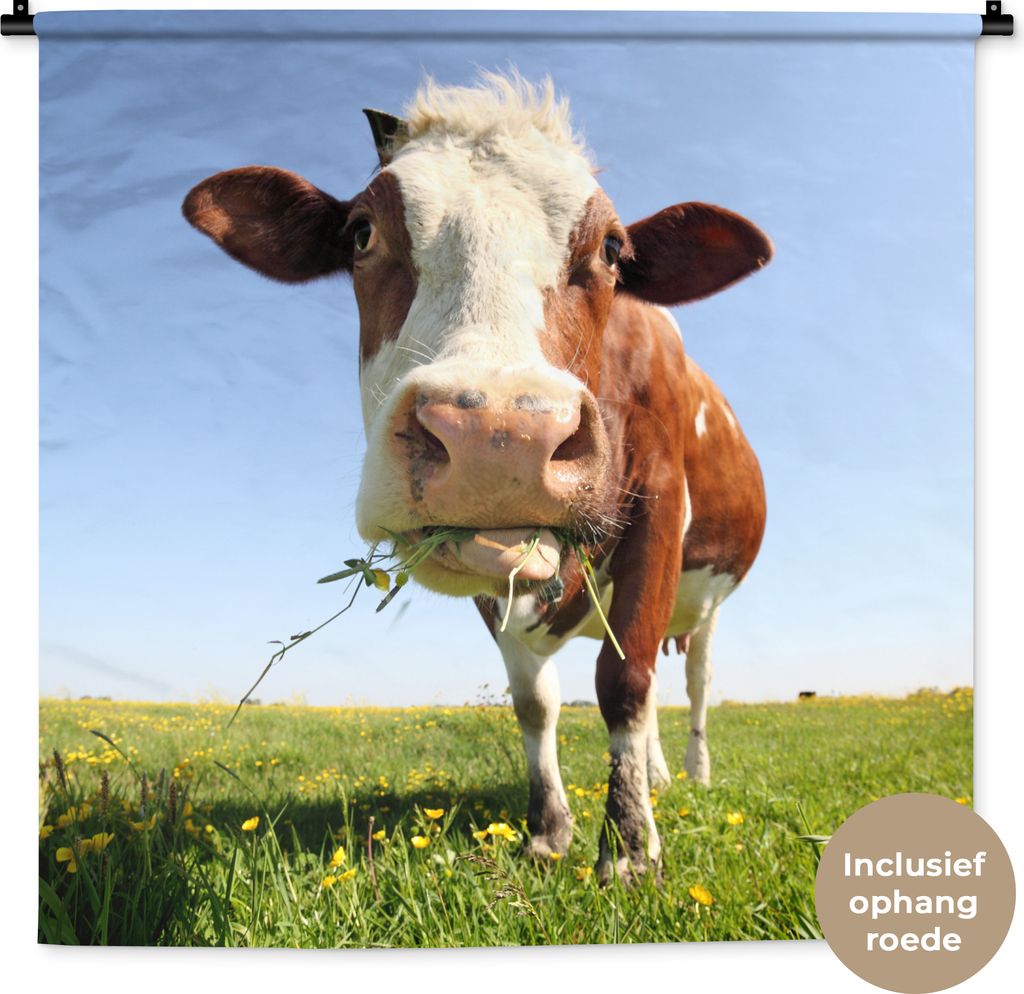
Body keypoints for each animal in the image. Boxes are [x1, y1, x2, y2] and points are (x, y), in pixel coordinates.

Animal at [182, 74, 771, 884]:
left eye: (613, 249)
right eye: (361, 233)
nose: (500, 436)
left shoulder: (658, 505)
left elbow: (624, 683)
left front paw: (628, 848)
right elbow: (535, 701)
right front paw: (550, 831)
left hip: (708, 602)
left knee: (690, 683)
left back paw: (690, 775)